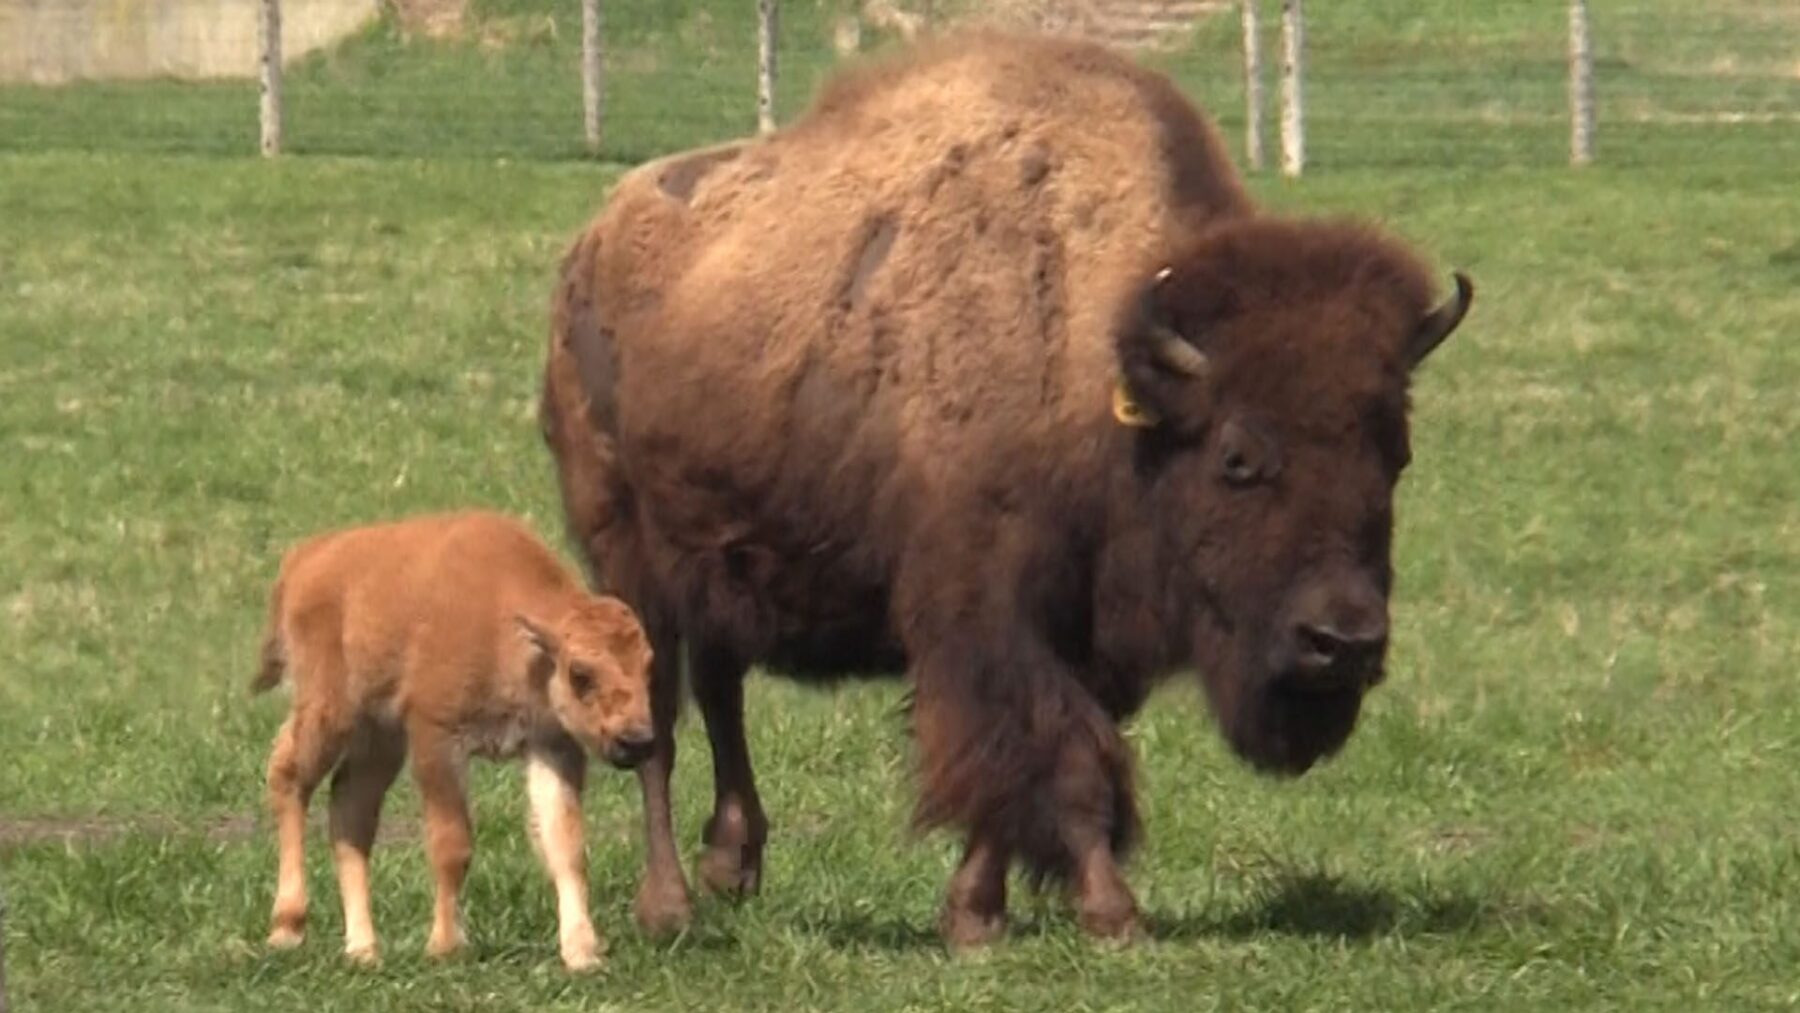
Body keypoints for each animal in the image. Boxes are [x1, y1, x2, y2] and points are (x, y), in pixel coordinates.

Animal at [537, 30, 1472, 947]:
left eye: (1395, 452)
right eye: (1238, 456)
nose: (1342, 642)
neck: (1104, 357)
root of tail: (587, 248)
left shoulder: (1078, 630)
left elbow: (1034, 764)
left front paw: (976, 915)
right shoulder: (990, 615)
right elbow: (1059, 757)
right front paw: (1111, 913)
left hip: (720, 561)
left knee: (720, 690)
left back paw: (733, 863)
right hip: (628, 561)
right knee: (655, 724)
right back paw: (668, 908)